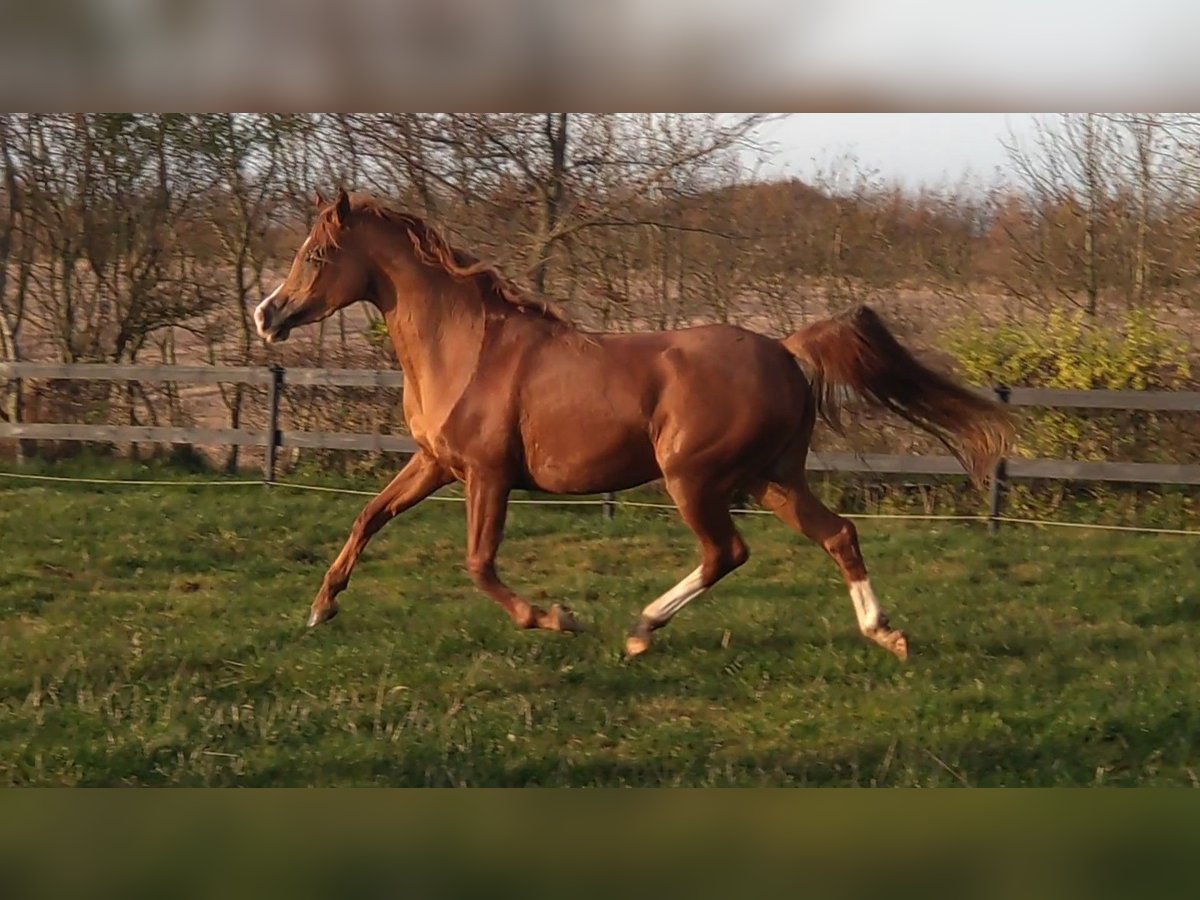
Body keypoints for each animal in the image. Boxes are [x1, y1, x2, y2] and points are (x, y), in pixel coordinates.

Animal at [255, 190, 1012, 657]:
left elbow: (478, 564)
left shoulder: (487, 476)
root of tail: (786, 349)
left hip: (694, 477)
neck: (467, 347)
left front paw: (556, 617)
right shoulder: (437, 463)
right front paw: (321, 608)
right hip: (771, 478)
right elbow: (369, 517)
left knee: (726, 552)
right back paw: (885, 634)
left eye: (315, 255)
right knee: (837, 535)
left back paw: (641, 628)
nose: (267, 315)